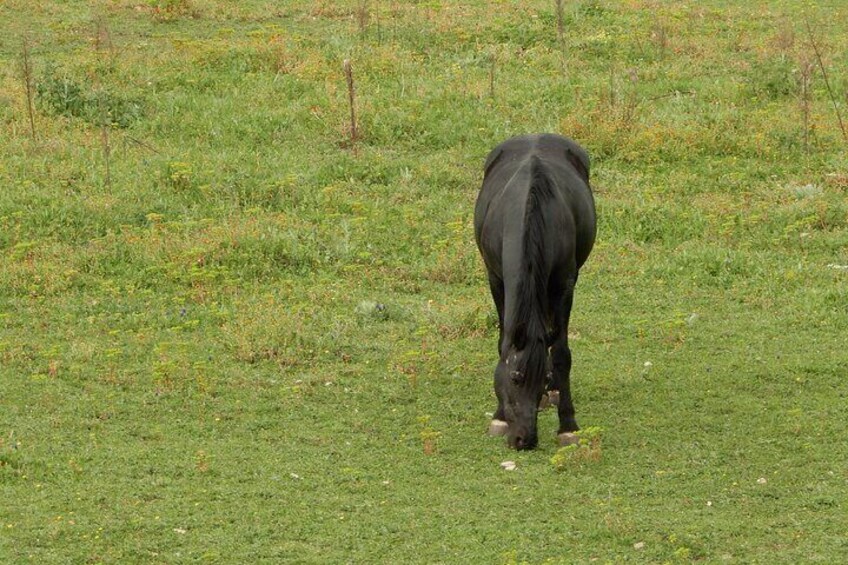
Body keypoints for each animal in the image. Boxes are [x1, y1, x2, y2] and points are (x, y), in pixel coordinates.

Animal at [476, 133, 596, 450]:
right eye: (515, 378)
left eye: (542, 378)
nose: (524, 440)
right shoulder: (496, 280)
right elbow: (502, 345)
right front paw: (499, 417)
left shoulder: (564, 285)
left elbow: (561, 354)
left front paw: (567, 425)